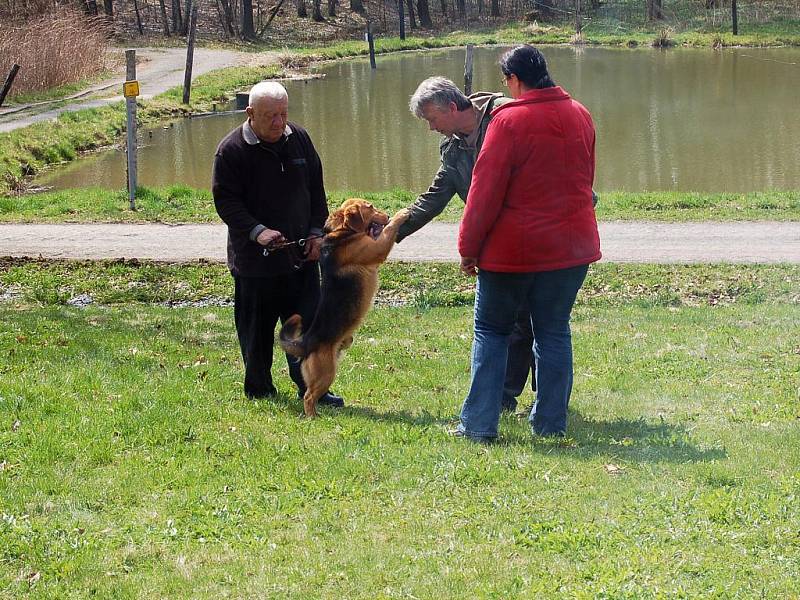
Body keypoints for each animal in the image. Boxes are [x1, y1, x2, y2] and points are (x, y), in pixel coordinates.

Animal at [280, 199, 406, 414]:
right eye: (370, 207)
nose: (387, 215)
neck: (344, 231)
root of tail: (306, 342)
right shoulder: (378, 248)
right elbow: (389, 230)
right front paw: (401, 214)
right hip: (326, 372)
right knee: (308, 396)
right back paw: (313, 416)